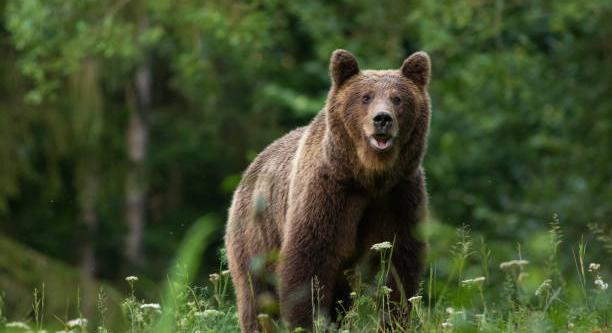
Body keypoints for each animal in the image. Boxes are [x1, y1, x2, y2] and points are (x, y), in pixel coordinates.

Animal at [225, 48, 430, 330]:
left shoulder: (398, 195)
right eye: (365, 97)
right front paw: (308, 322)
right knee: (257, 296)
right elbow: (309, 262)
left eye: (397, 98)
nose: (382, 119)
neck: (369, 176)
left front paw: (393, 321)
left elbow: (398, 263)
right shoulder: (329, 192)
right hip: (256, 234)